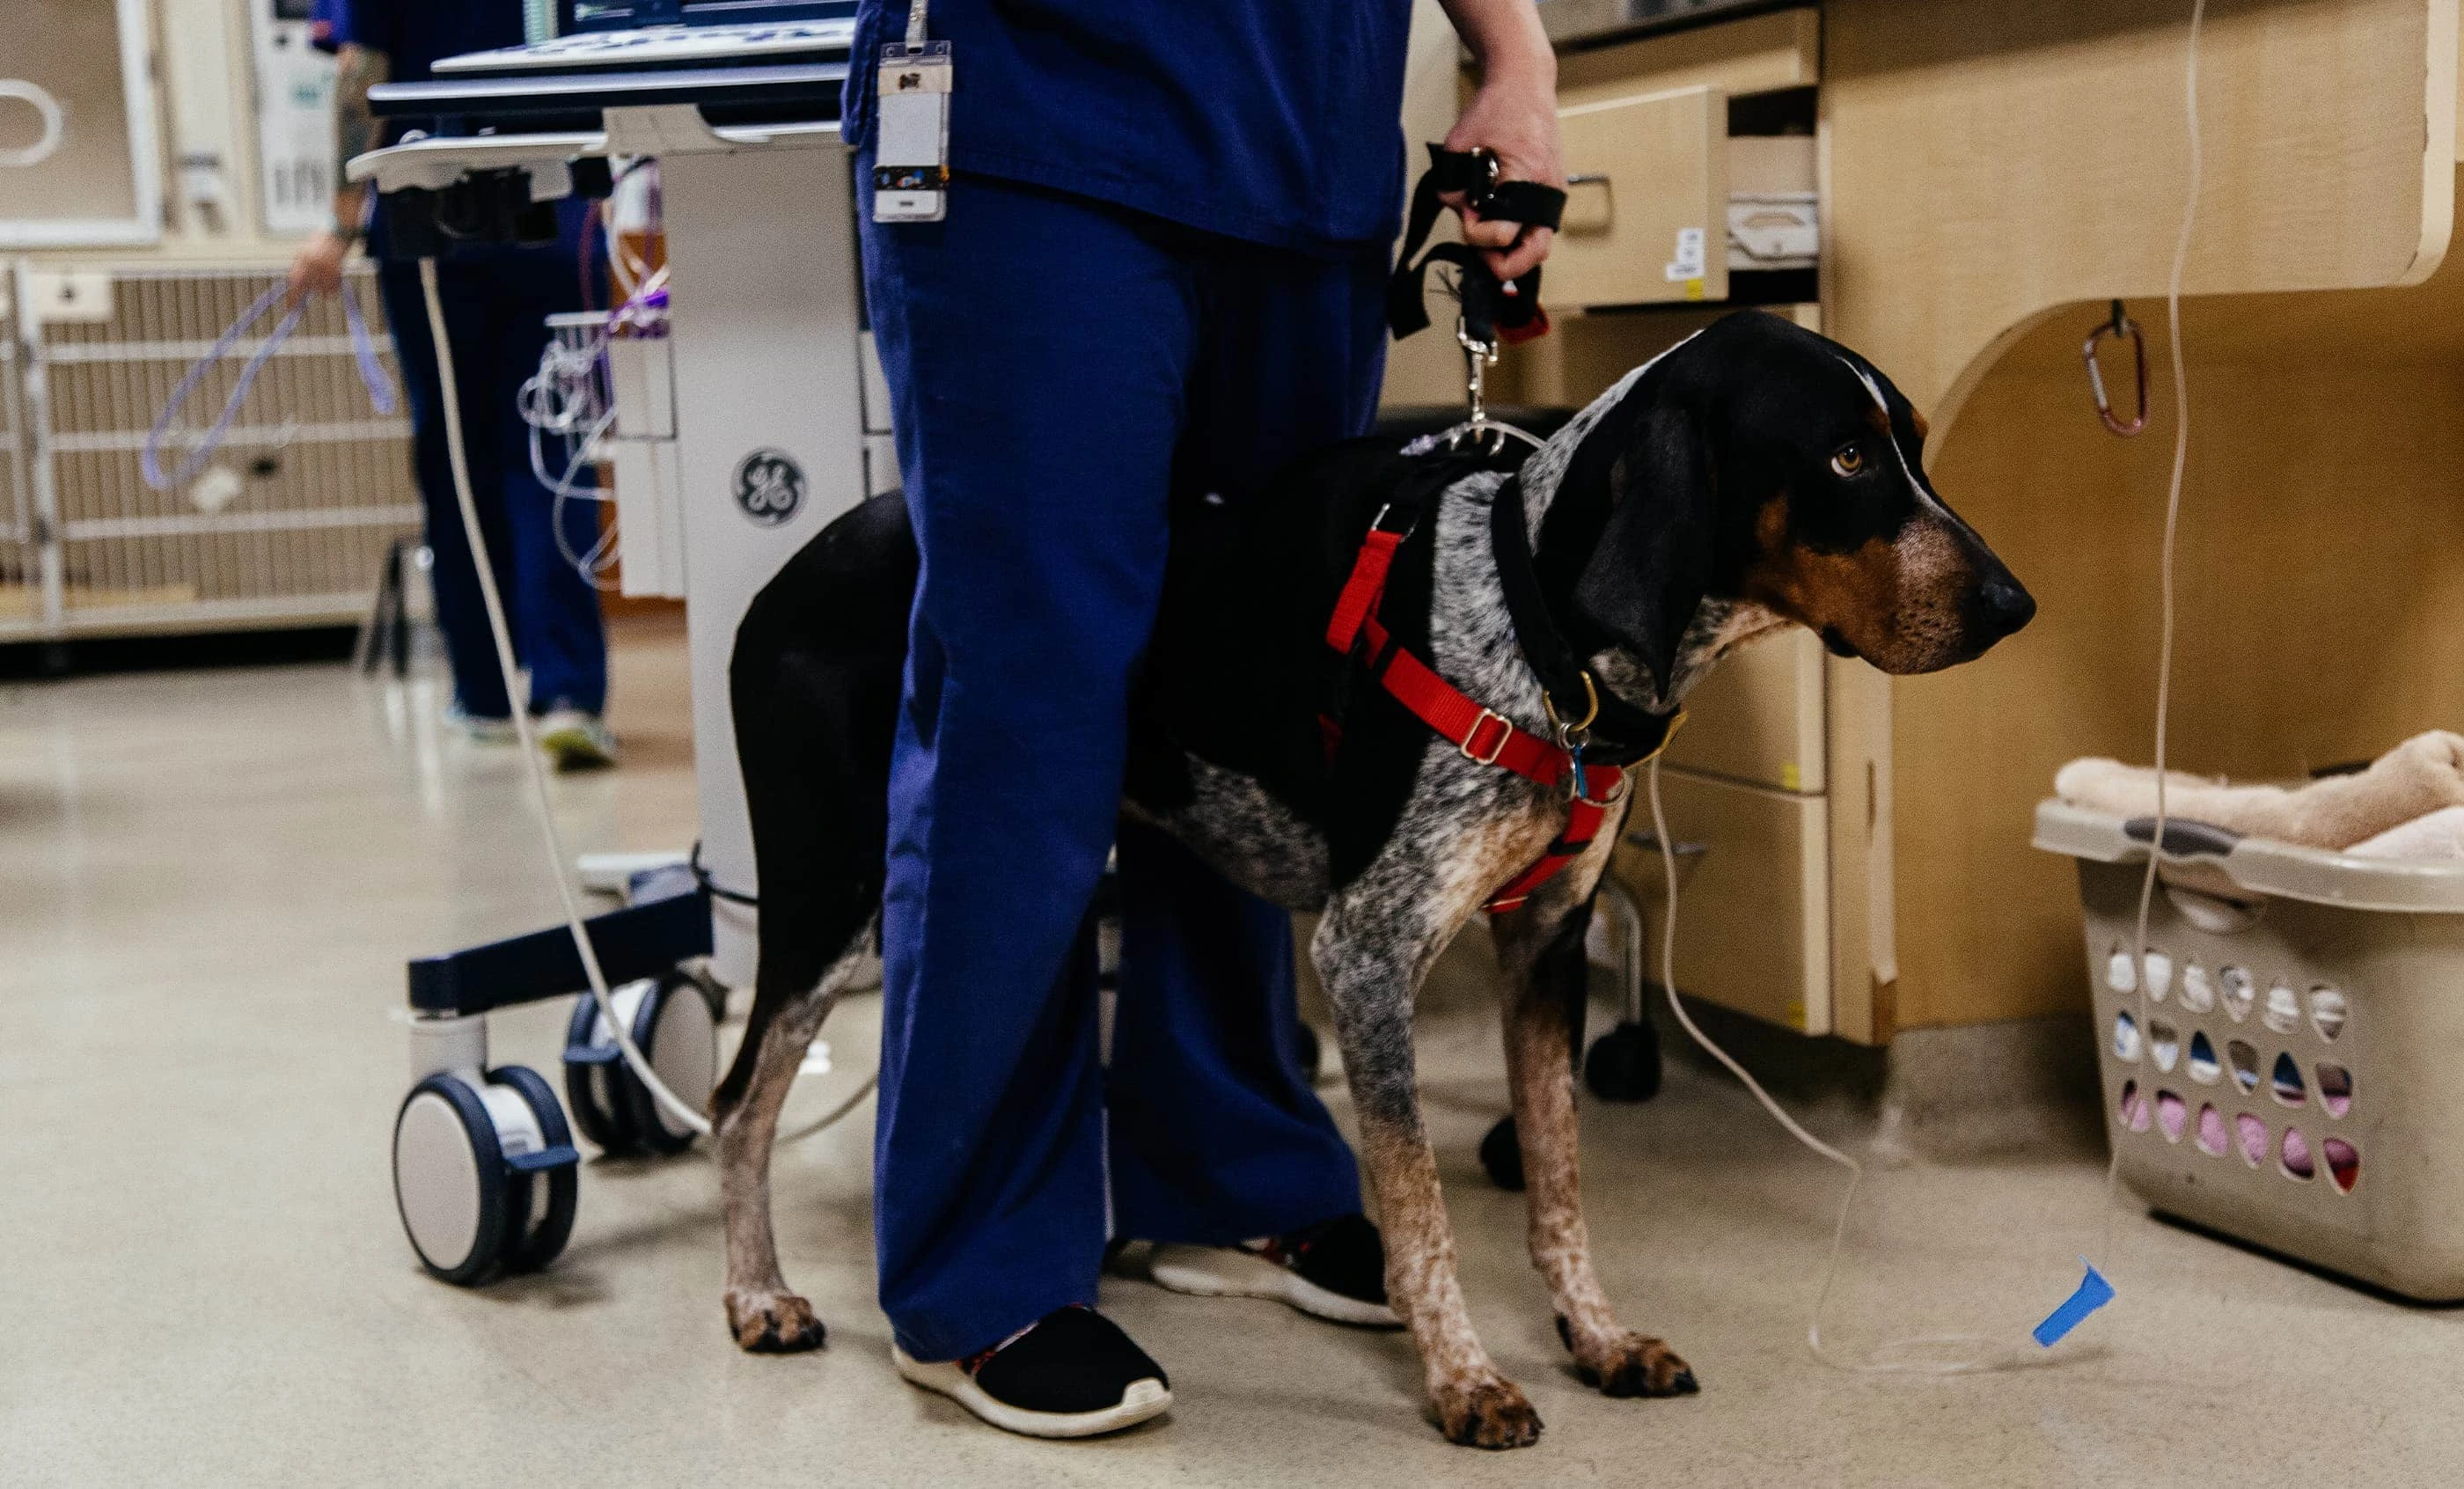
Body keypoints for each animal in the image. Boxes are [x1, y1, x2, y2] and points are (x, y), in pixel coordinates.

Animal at [704, 310, 2030, 1439]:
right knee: (739, 1101)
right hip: (835, 895)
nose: (2015, 605)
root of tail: (796, 564)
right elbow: (1421, 1208)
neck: (1535, 628)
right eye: (1846, 457)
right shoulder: (1369, 952)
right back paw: (760, 1297)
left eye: (1915, 445)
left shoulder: (1546, 946)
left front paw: (1594, 1337)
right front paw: (1463, 1377)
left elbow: (1558, 1179)